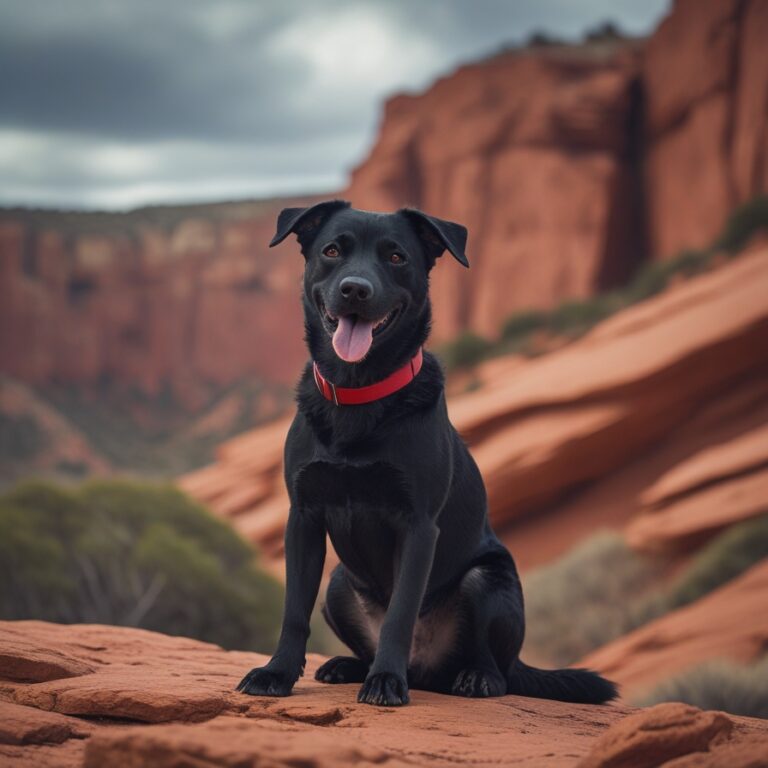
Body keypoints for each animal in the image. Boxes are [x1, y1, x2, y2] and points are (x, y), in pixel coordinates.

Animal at [237, 200, 616, 708]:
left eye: (396, 257)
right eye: (332, 250)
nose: (355, 289)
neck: (359, 396)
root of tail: (425, 671)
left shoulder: (417, 525)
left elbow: (400, 613)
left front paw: (385, 681)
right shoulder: (303, 517)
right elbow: (294, 610)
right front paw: (276, 673)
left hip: (487, 582)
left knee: (497, 666)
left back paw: (472, 678)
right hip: (338, 584)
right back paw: (348, 666)